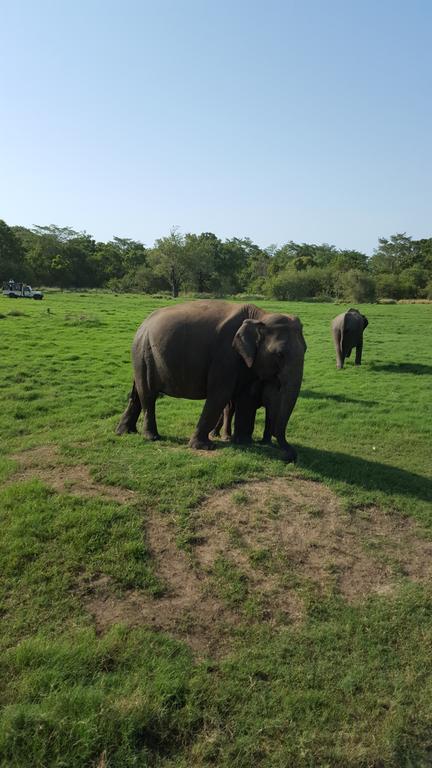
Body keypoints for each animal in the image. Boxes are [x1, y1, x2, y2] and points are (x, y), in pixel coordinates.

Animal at [116, 300, 306, 462]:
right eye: (280, 354)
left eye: (305, 349)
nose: (290, 455)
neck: (261, 315)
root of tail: (143, 324)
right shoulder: (225, 355)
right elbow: (220, 394)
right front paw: (204, 446)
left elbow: (246, 397)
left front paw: (244, 442)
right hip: (144, 353)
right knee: (148, 393)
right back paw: (152, 437)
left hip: (142, 355)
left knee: (137, 394)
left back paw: (125, 432)